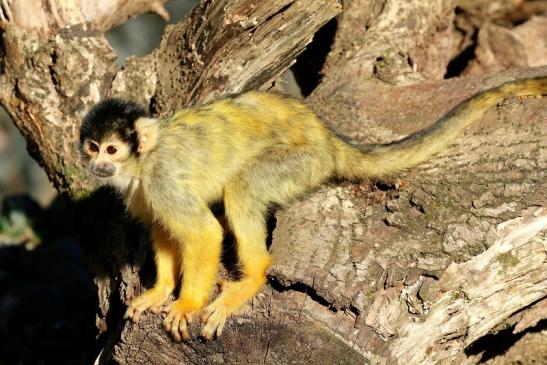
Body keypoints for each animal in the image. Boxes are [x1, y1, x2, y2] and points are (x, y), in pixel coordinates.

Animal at [79, 77, 544, 342]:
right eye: (92, 148)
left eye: (112, 149)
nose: (97, 164)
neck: (140, 165)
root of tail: (327, 138)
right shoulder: (142, 191)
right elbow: (164, 232)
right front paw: (159, 292)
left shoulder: (160, 178)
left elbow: (203, 233)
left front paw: (187, 305)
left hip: (301, 163)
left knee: (242, 188)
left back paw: (252, 278)